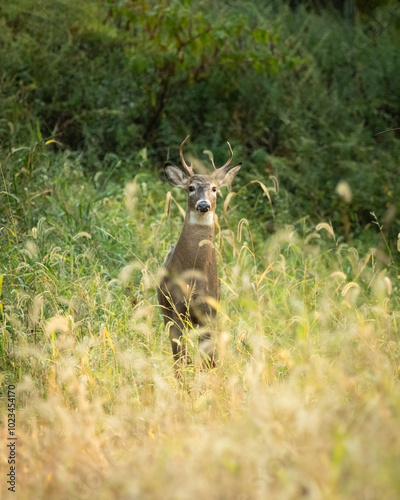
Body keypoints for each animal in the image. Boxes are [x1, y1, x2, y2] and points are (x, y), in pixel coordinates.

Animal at [158, 135, 242, 370]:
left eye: (214, 188)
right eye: (191, 187)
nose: (203, 205)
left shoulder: (209, 312)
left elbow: (209, 359)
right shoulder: (177, 310)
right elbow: (180, 357)